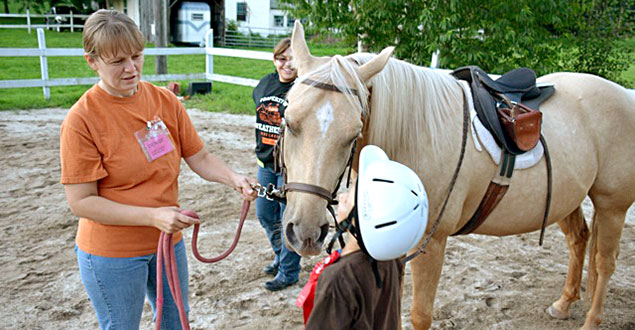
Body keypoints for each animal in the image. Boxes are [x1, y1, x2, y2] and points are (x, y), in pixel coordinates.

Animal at [284, 21, 635, 330]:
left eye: (353, 134)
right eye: (288, 121)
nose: (306, 233)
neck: (413, 137)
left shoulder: (430, 242)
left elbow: (420, 315)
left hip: (612, 205)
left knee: (604, 262)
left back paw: (592, 320)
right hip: (567, 199)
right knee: (579, 241)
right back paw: (563, 304)